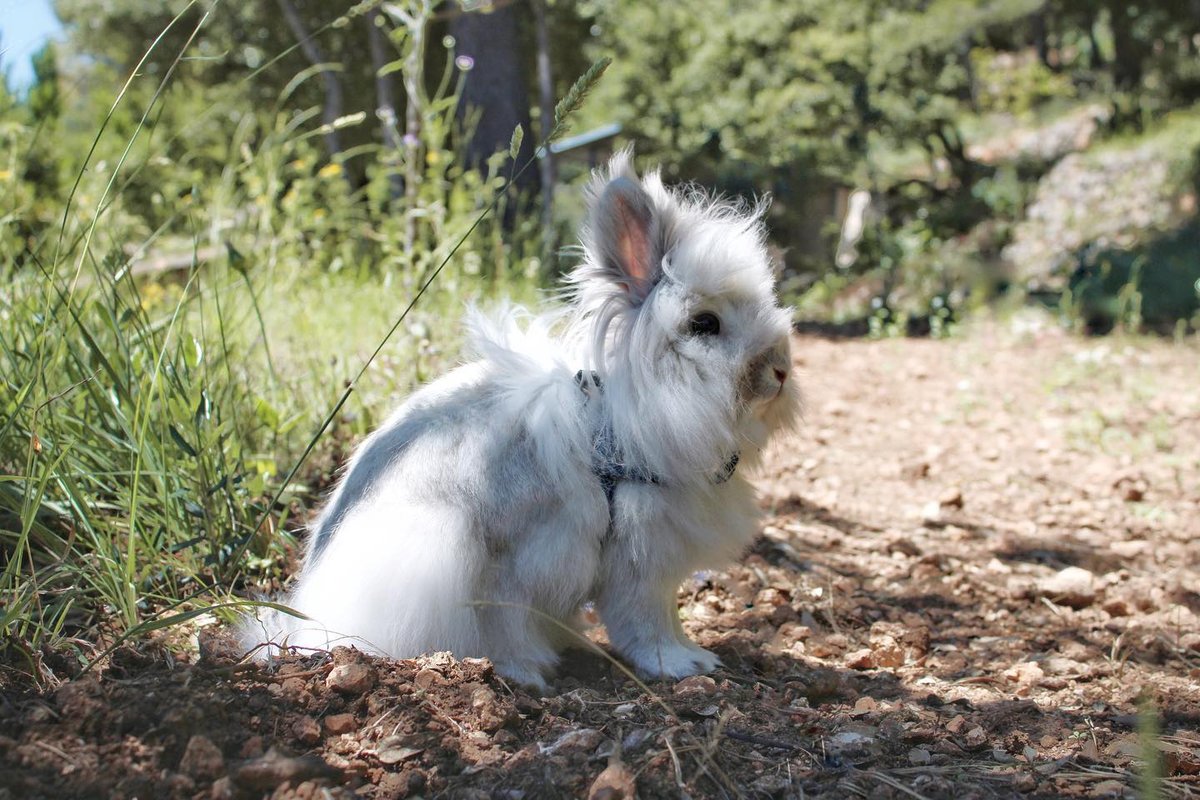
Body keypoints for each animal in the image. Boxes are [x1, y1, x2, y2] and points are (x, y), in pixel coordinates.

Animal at [243, 149, 800, 691]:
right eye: (704, 324)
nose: (779, 369)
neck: (632, 420)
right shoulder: (620, 559)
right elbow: (644, 625)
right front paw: (683, 664)